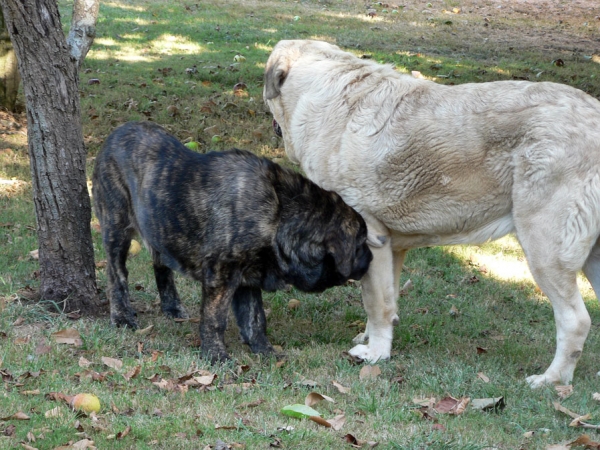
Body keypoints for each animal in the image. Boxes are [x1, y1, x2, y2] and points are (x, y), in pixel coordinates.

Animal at [92, 121, 372, 360]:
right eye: (360, 245)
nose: (370, 258)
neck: (280, 214)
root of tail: (115, 134)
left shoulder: (248, 279)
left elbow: (255, 318)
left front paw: (264, 351)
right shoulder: (221, 274)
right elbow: (215, 319)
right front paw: (216, 355)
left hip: (160, 225)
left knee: (161, 265)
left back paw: (172, 307)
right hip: (116, 226)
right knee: (116, 274)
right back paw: (122, 317)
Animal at [264, 38, 600, 386]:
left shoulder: (370, 237)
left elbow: (376, 303)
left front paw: (375, 354)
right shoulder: (390, 248)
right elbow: (387, 299)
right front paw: (372, 339)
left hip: (545, 247)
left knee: (575, 321)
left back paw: (551, 380)